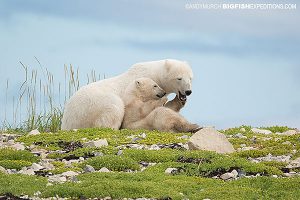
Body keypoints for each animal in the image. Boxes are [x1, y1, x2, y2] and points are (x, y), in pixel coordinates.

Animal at [61, 58, 193, 130]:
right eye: (179, 78)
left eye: (191, 78)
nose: (188, 91)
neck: (154, 74)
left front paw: (178, 101)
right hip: (92, 106)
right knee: (113, 107)